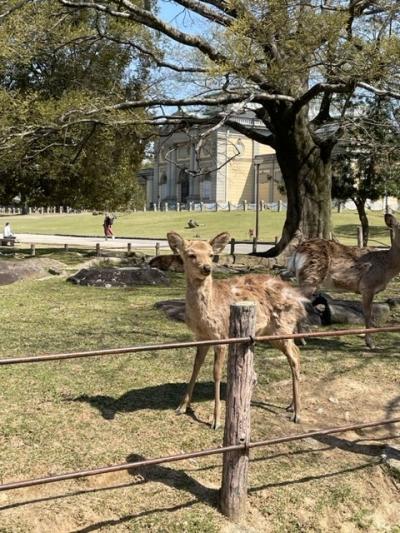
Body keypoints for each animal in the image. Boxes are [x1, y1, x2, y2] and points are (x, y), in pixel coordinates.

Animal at [167, 230, 308, 428]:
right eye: (191, 254)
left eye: (211, 254)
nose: (207, 268)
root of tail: (299, 300)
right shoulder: (201, 337)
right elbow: (196, 367)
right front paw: (181, 407)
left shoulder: (221, 336)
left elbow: (217, 373)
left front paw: (216, 420)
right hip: (271, 333)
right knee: (296, 352)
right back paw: (291, 406)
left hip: (282, 328)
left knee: (294, 355)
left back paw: (297, 413)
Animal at [290, 214, 400, 348]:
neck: (387, 267)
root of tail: (298, 250)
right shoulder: (368, 286)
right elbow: (368, 314)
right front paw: (370, 343)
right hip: (310, 277)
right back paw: (301, 340)